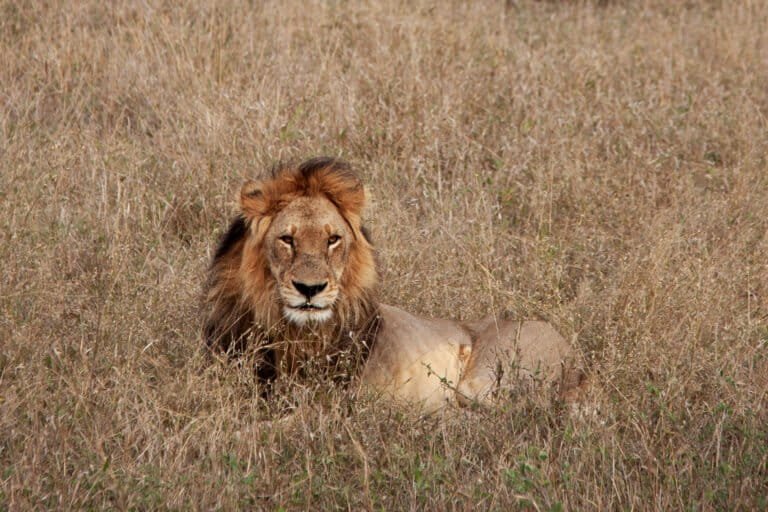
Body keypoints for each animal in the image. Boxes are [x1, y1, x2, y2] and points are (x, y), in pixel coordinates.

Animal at [203, 157, 582, 413]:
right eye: (287, 239)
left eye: (332, 240)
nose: (310, 289)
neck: (297, 333)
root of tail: (574, 350)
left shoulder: (333, 402)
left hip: (488, 376)